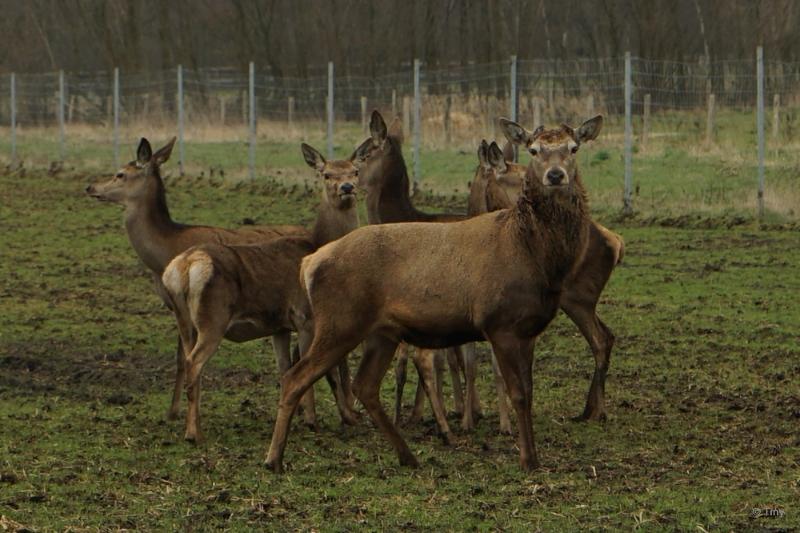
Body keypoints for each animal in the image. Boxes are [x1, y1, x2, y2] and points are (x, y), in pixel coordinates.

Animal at [86, 139, 308, 422]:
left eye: (120, 174)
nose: (91, 187)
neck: (164, 254)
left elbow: (188, 358)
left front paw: (182, 412)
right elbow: (182, 358)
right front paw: (173, 411)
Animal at [160, 141, 366, 440]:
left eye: (355, 170)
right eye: (326, 174)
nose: (347, 187)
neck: (318, 246)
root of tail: (183, 267)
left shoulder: (279, 326)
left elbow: (284, 370)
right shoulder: (304, 316)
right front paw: (312, 421)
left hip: (184, 321)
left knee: (186, 360)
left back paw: (193, 425)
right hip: (213, 318)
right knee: (194, 363)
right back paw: (193, 433)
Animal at [266, 115, 604, 470]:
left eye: (574, 148)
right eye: (534, 149)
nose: (555, 175)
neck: (532, 254)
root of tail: (310, 262)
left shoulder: (529, 328)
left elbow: (529, 391)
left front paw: (533, 456)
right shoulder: (499, 322)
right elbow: (519, 393)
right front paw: (526, 459)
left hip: (382, 331)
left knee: (365, 385)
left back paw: (407, 455)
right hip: (340, 321)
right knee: (294, 377)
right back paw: (274, 458)